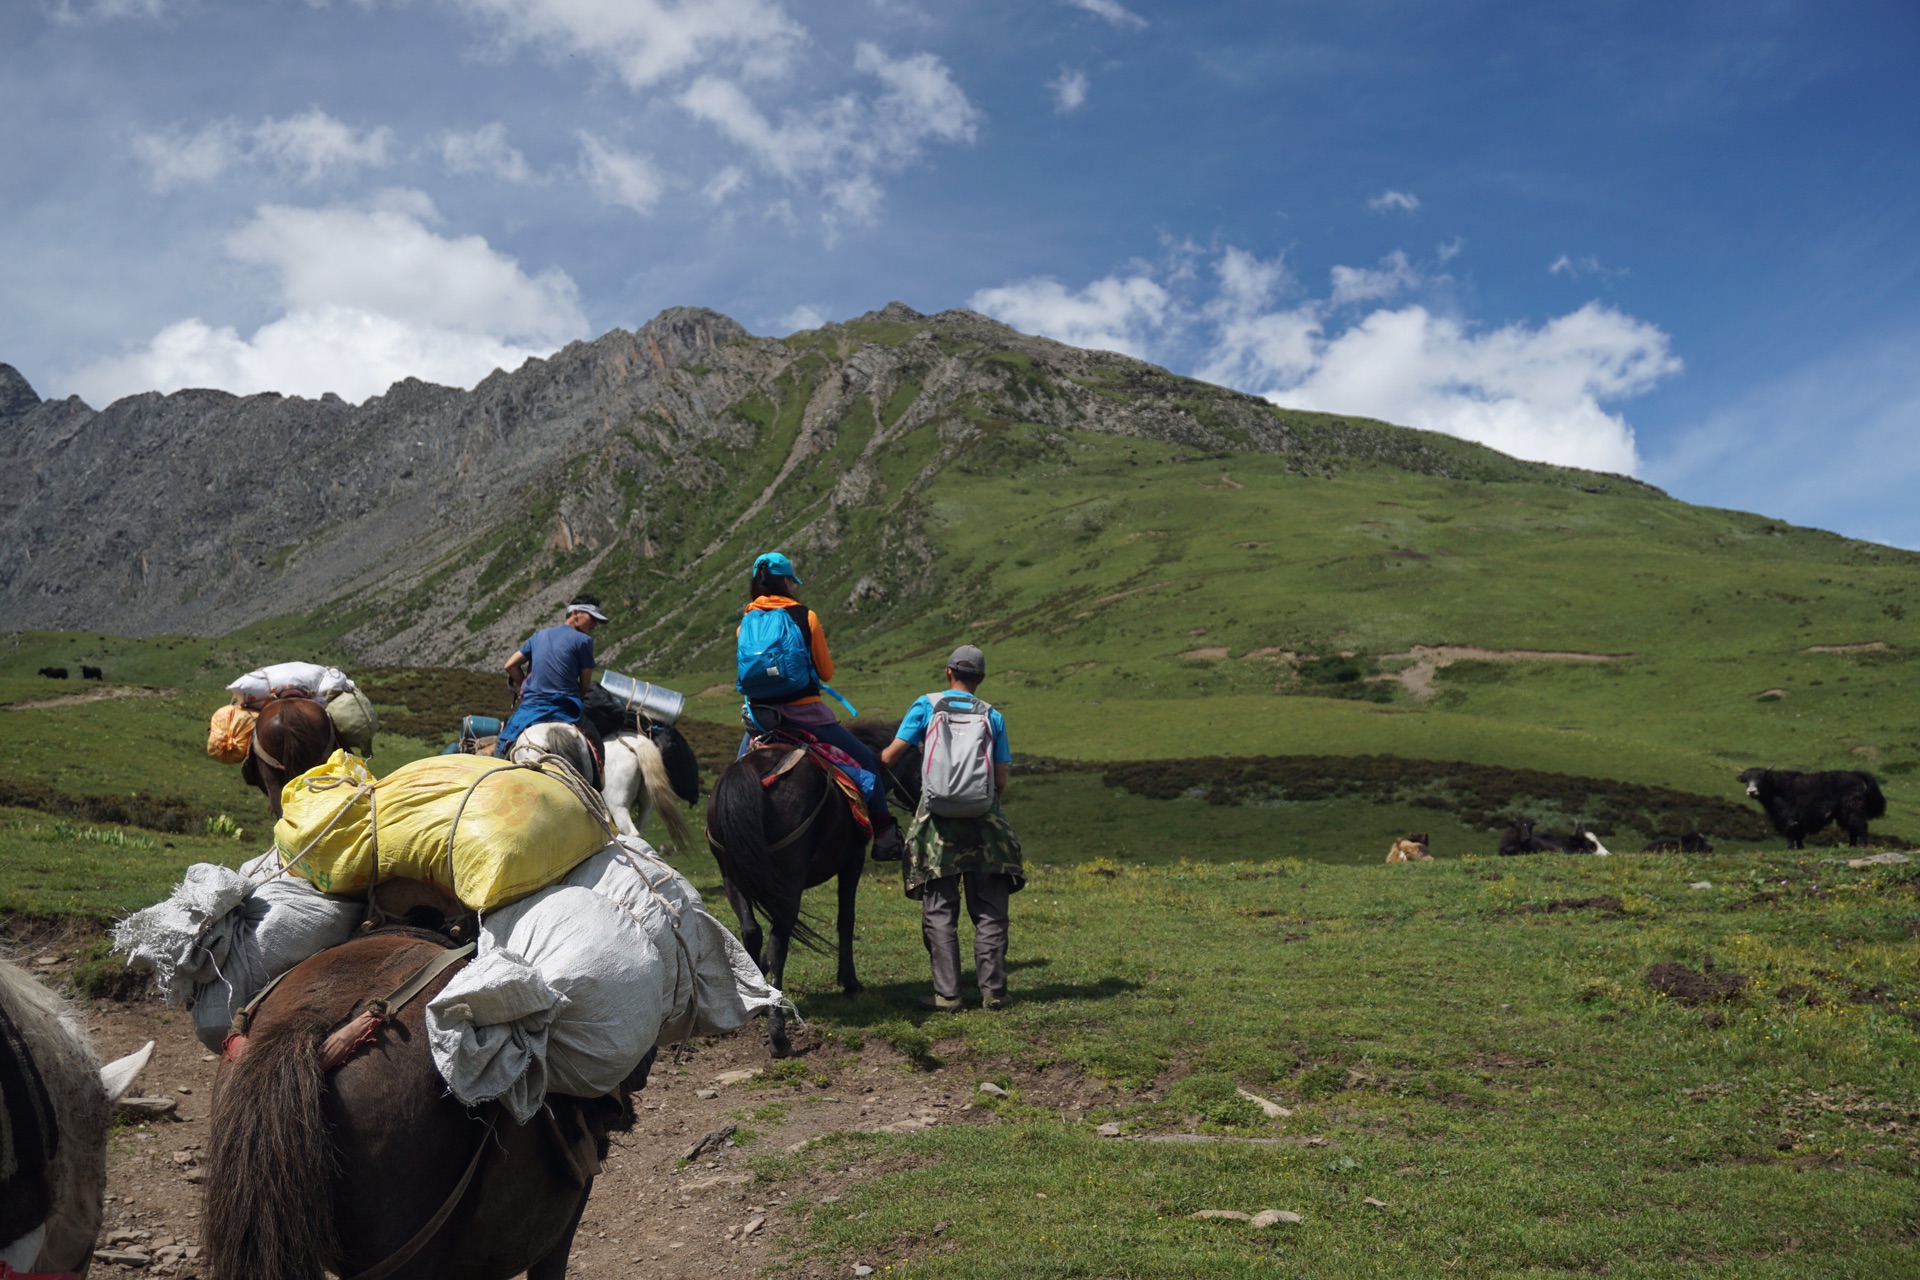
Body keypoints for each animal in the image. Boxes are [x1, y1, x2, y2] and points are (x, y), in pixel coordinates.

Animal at [706, 717, 921, 1059]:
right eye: (920, 764)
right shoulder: (853, 861)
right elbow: (846, 920)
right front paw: (850, 981)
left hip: (732, 877)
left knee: (751, 932)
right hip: (788, 882)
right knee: (778, 945)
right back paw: (778, 1035)